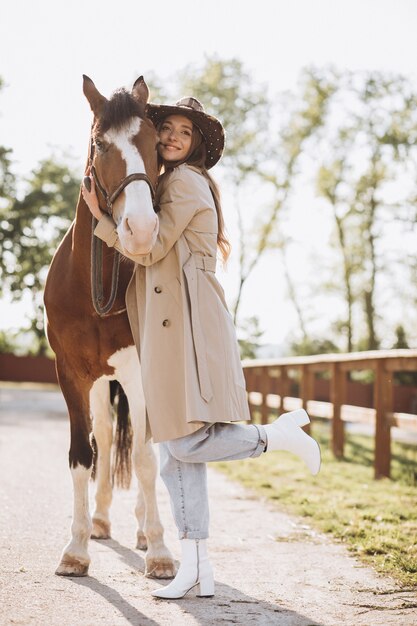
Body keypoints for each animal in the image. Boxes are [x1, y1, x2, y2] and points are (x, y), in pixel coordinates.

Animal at [44, 75, 175, 576]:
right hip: (101, 383)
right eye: (100, 144)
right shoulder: (72, 375)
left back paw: (141, 530)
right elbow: (84, 454)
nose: (141, 230)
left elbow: (143, 457)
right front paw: (76, 548)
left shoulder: (139, 374)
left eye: (155, 144)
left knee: (143, 444)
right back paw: (100, 521)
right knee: (103, 435)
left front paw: (159, 552)